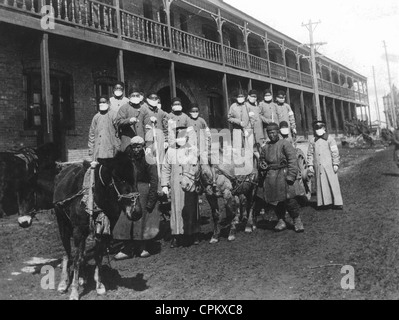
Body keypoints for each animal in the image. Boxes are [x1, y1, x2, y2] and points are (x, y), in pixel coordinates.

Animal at [52, 152, 141, 300]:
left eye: (136, 178)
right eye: (120, 179)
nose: (137, 212)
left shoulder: (103, 232)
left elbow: (97, 255)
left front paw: (99, 285)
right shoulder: (78, 231)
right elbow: (76, 259)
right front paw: (74, 291)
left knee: (81, 253)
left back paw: (82, 277)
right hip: (63, 224)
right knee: (68, 254)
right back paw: (64, 282)